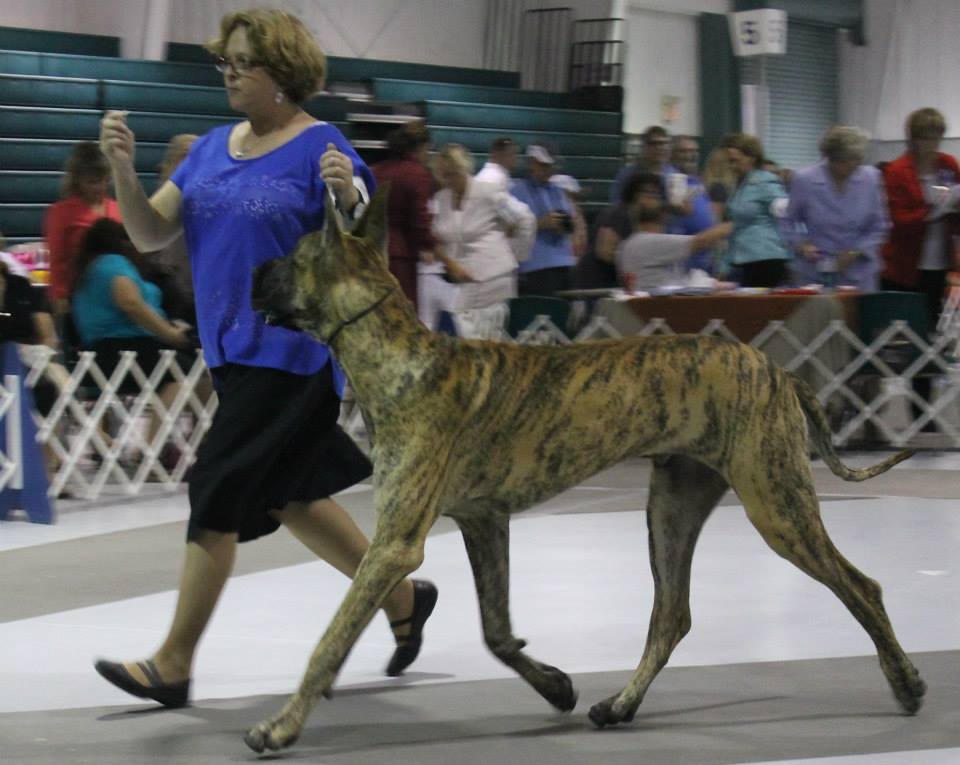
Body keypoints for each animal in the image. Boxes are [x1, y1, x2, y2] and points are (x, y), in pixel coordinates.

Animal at [246, 188, 924, 748]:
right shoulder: (484, 522)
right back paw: (620, 705)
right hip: (673, 506)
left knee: (860, 586)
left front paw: (280, 727)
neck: (397, 355)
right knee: (671, 615)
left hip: (777, 505)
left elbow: (330, 641)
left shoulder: (393, 545)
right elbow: (496, 630)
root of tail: (777, 370)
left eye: (290, 257)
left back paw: (907, 682)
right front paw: (554, 685)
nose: (251, 272)